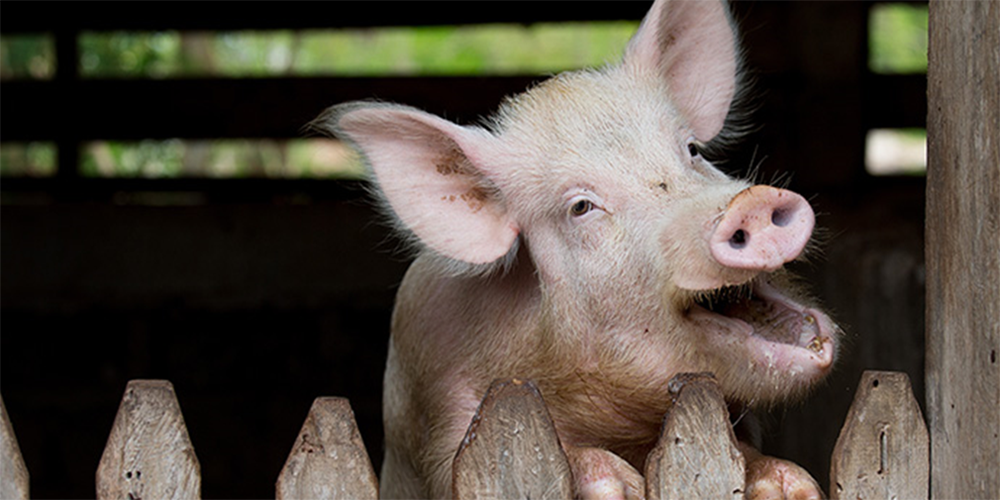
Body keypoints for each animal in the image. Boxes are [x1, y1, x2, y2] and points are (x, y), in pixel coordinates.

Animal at [314, 0, 839, 498]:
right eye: (581, 207)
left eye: (691, 150)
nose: (751, 202)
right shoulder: (442, 418)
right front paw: (617, 488)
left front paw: (789, 486)